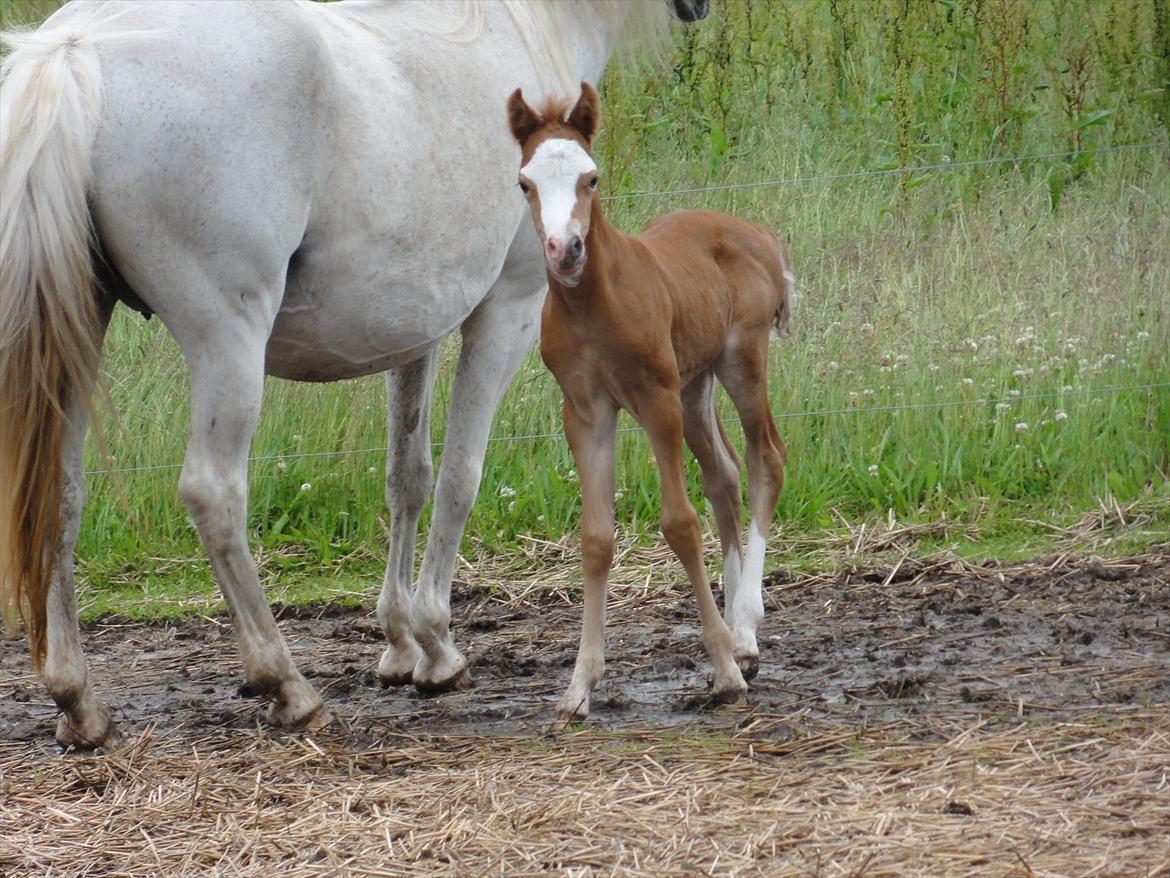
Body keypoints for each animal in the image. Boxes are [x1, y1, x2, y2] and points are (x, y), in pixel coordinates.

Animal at [0, 0, 710, 749]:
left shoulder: (414, 334)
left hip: (79, 340)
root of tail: (77, 48)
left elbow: (409, 478)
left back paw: (78, 702)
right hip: (227, 341)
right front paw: (438, 645)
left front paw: (401, 643)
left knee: (60, 497)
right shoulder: (507, 310)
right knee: (213, 493)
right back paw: (286, 686)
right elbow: (461, 477)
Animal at [507, 82, 793, 722]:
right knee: (724, 474)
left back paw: (745, 631)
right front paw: (579, 687)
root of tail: (758, 231)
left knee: (765, 458)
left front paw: (723, 672)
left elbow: (679, 523)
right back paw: (738, 633)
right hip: (695, 384)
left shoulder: (654, 399)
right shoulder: (585, 413)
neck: (593, 306)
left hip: (740, 362)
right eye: (525, 183)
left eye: (591, 177)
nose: (566, 250)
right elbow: (595, 538)